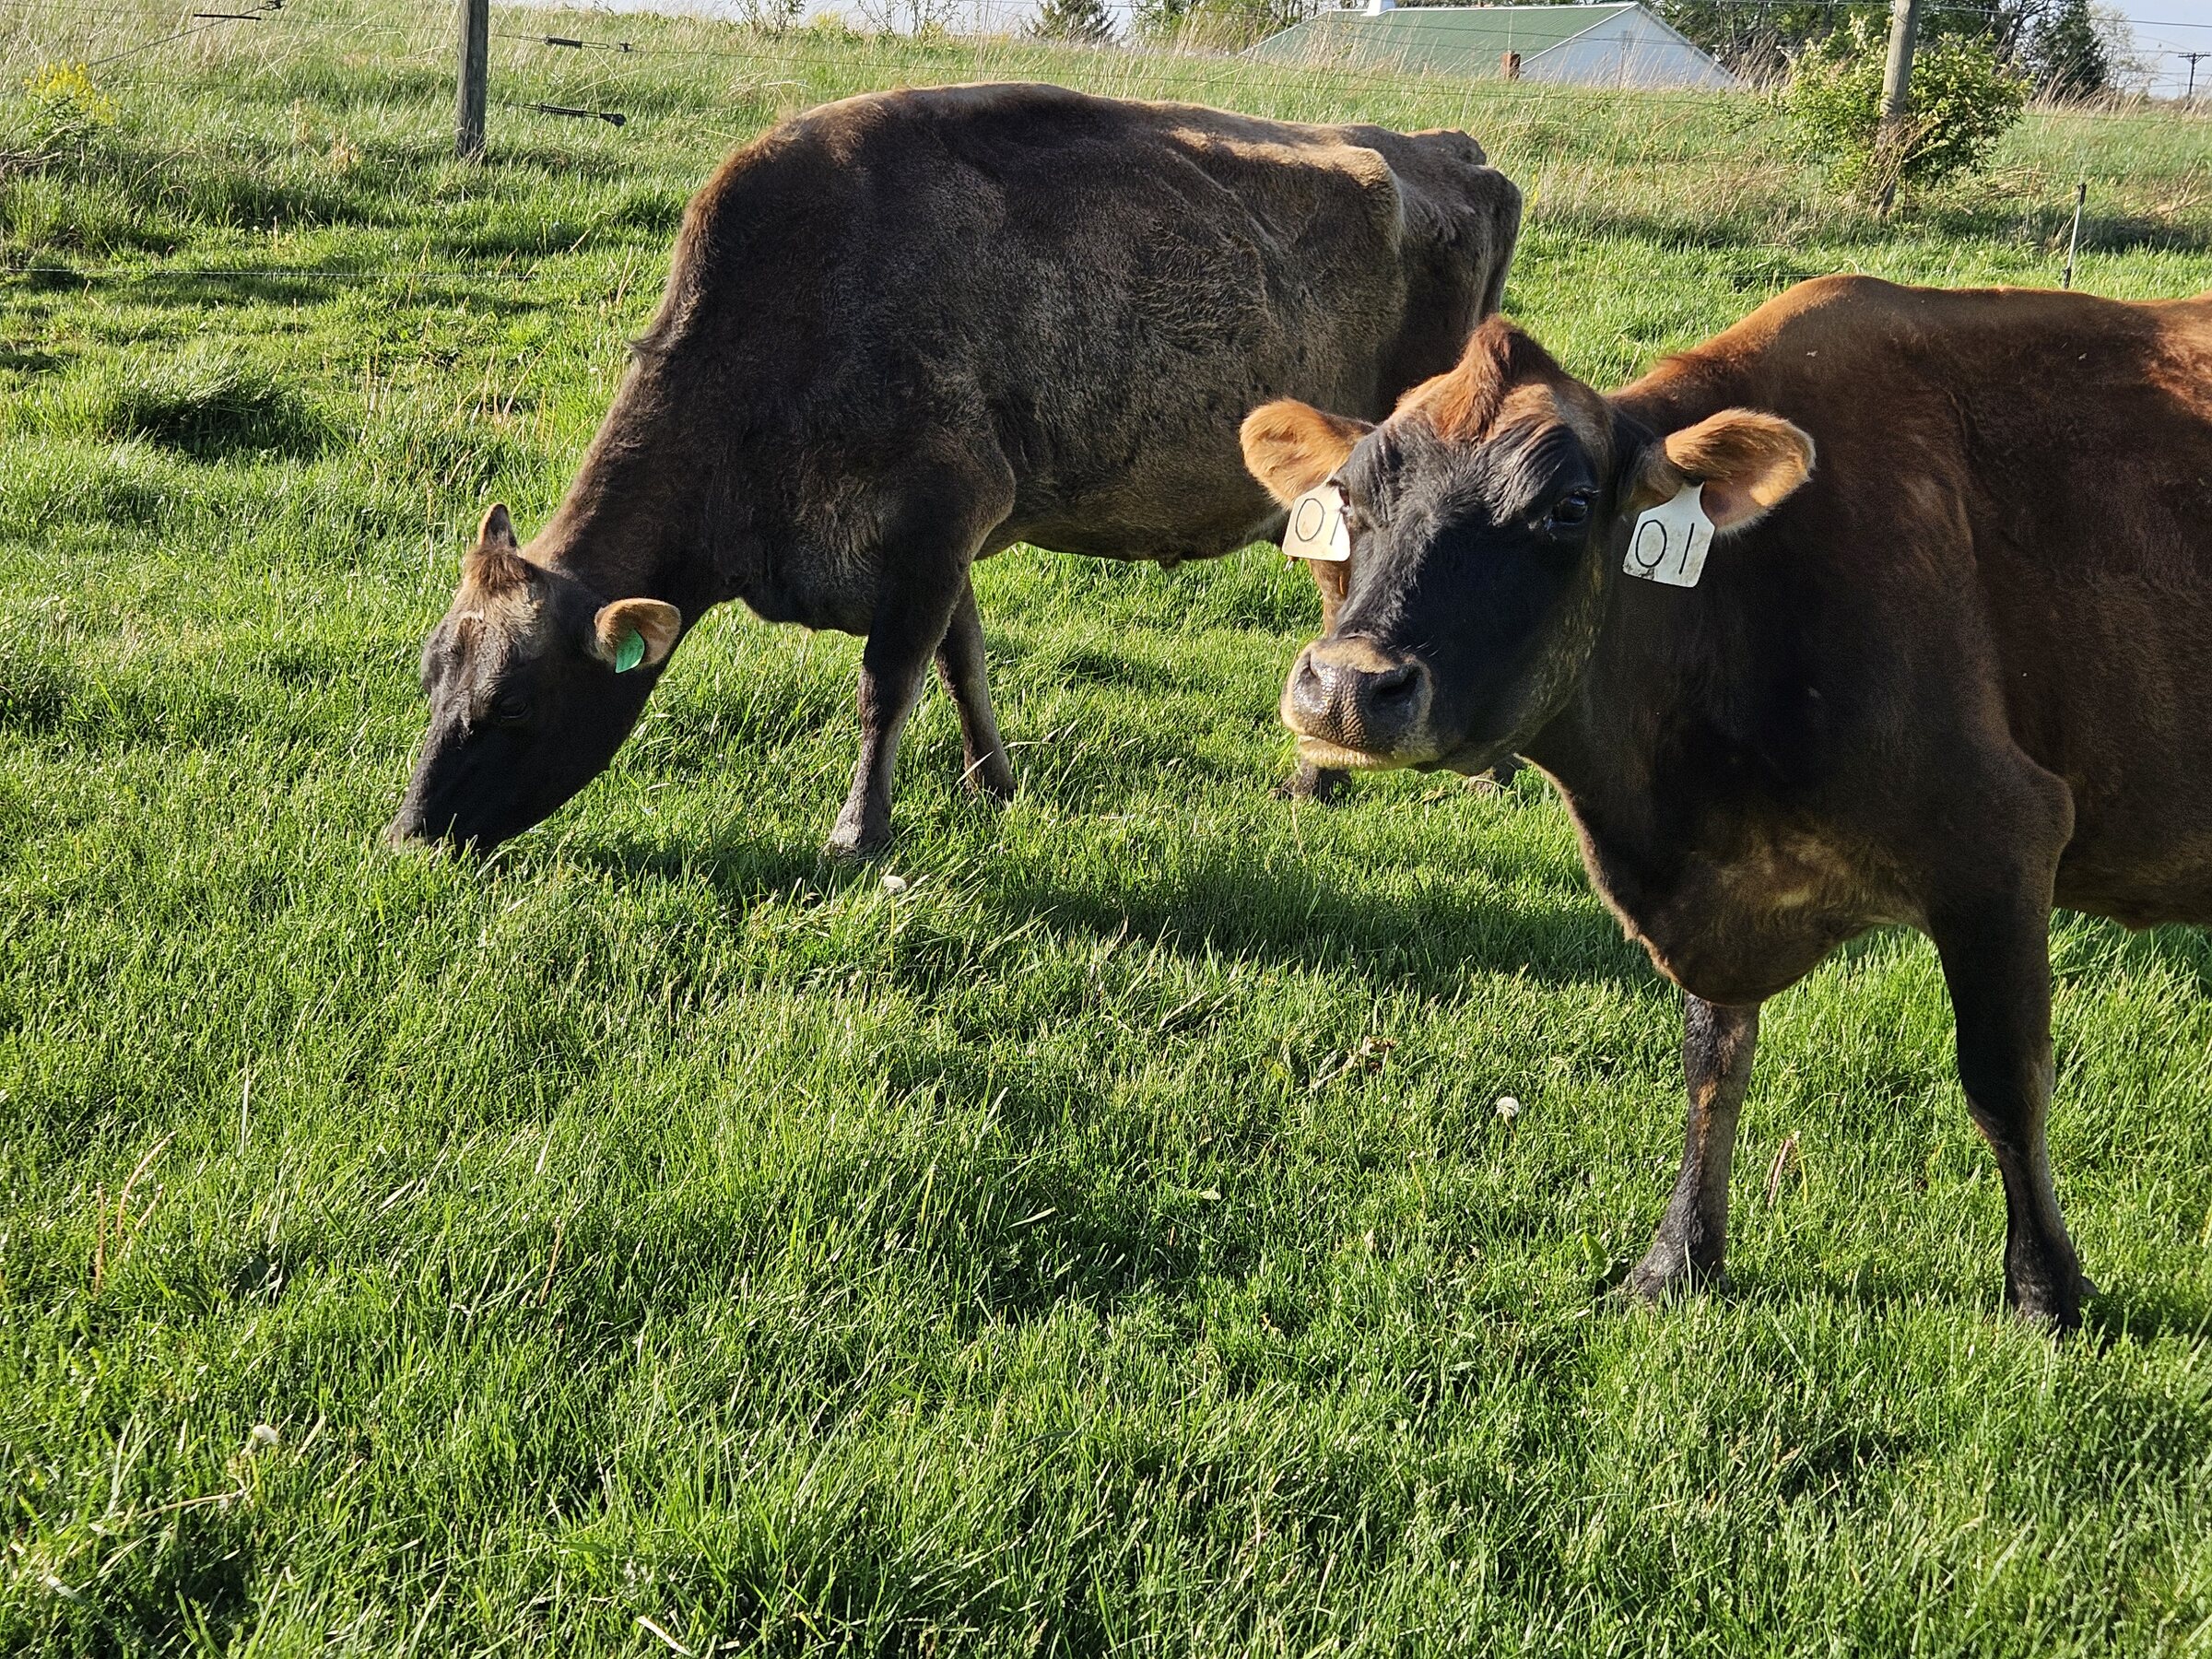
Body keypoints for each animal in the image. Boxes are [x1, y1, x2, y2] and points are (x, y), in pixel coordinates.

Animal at [387, 82, 1521, 859]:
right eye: (432, 680)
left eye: (512, 707)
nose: (408, 834)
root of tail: (1448, 152)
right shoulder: (945, 535)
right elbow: (960, 661)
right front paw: (992, 785)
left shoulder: (939, 512)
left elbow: (887, 681)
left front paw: (859, 833)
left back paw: (1382, 779)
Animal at [1241, 274, 2212, 1330]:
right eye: (1347, 497)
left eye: (1569, 507)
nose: (1347, 685)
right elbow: (1714, 1067)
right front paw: (1677, 1262)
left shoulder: (2003, 842)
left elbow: (2004, 1079)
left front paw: (2045, 1290)